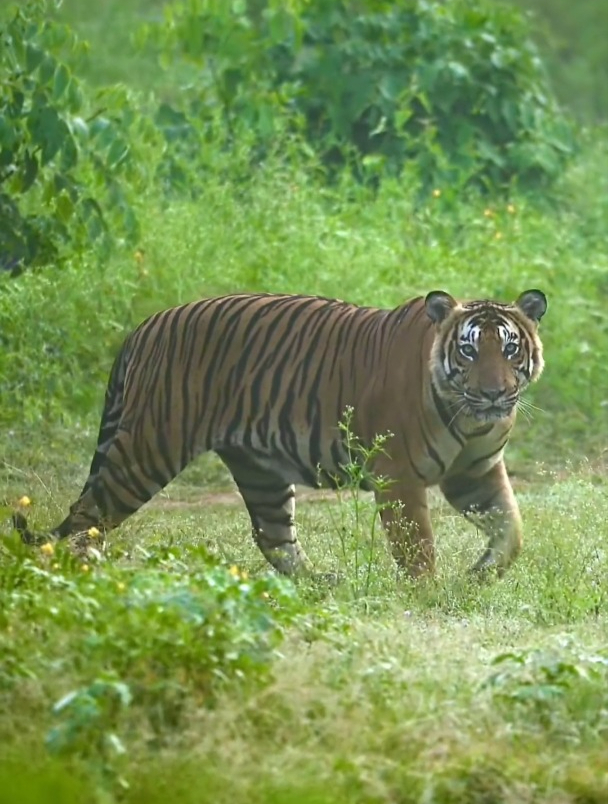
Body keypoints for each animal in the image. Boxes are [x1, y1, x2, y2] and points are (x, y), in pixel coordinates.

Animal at [13, 288, 548, 576]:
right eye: (469, 350)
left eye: (510, 348)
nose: (496, 394)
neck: (471, 419)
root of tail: (145, 326)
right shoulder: (399, 477)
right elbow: (417, 547)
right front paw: (430, 594)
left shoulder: (475, 474)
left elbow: (512, 531)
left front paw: (479, 575)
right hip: (147, 448)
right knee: (88, 514)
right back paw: (78, 574)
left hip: (259, 470)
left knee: (273, 538)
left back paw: (325, 585)